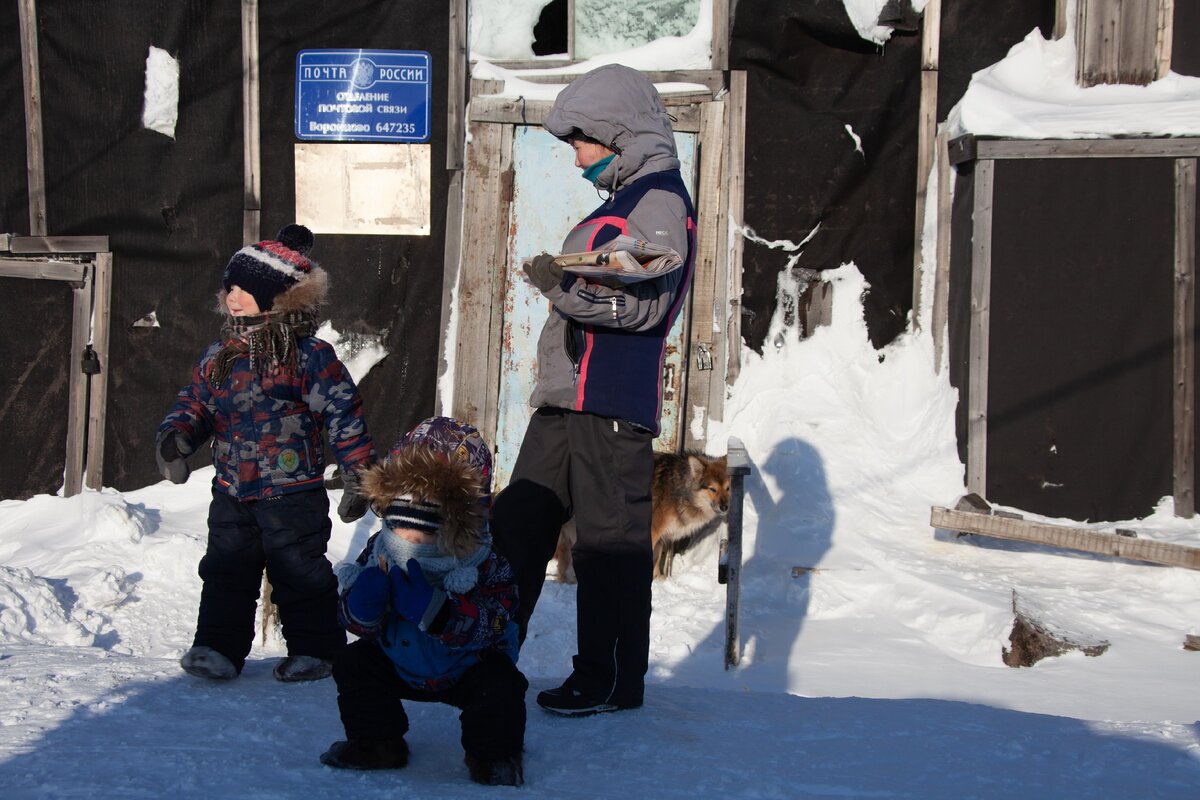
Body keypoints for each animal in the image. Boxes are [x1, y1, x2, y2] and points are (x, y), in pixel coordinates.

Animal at [552, 450, 729, 582]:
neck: (678, 489)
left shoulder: (661, 537)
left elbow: (656, 559)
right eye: (712, 489)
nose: (725, 507)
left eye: (728, 488)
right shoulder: (652, 532)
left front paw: (658, 579)